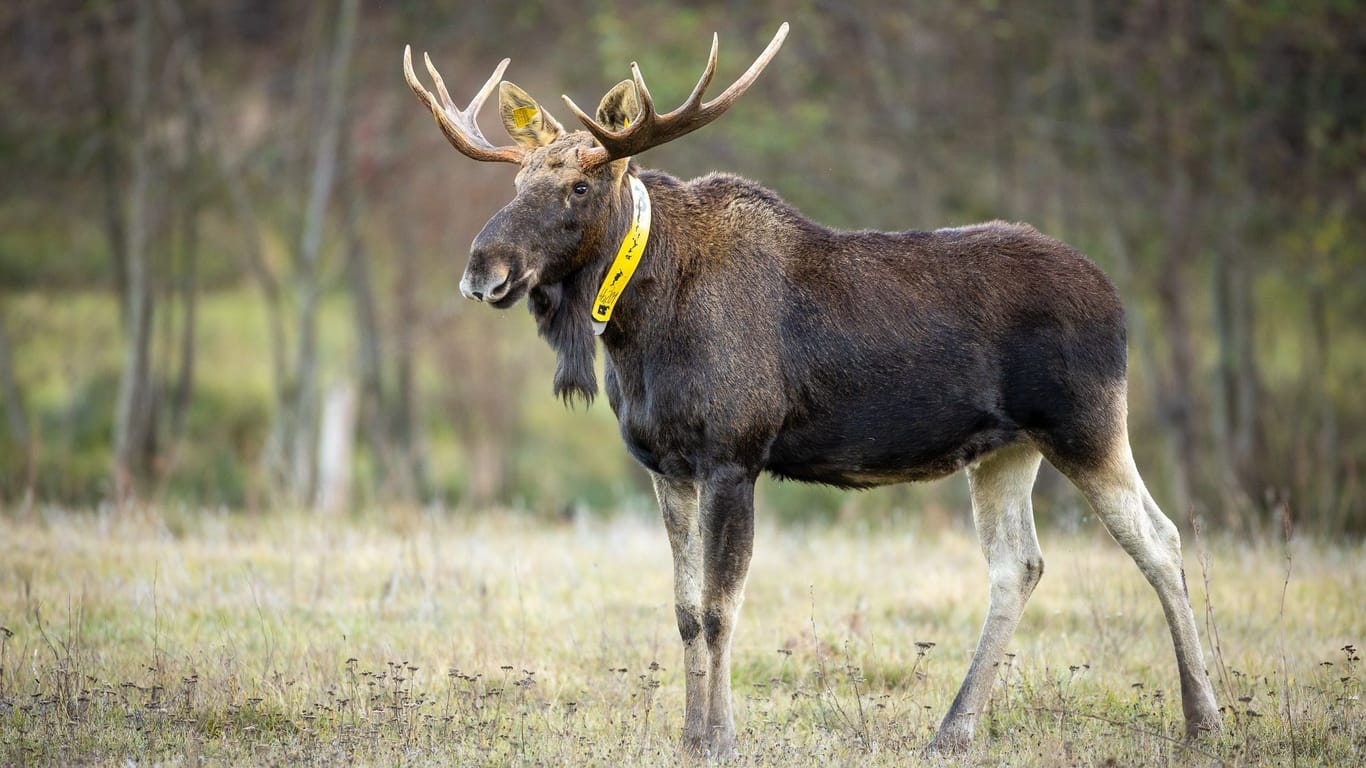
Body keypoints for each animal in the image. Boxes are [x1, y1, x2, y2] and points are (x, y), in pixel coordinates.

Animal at [398, 22, 1223, 754]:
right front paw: (690, 735)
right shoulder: (668, 466)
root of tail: (1120, 305)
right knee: (1018, 564)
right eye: (516, 179)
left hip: (1085, 423)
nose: (483, 270)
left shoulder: (735, 455)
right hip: (1005, 450)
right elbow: (684, 609)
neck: (635, 330)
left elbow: (721, 607)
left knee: (1159, 539)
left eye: (576, 185)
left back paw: (1202, 721)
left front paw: (721, 739)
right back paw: (951, 731)